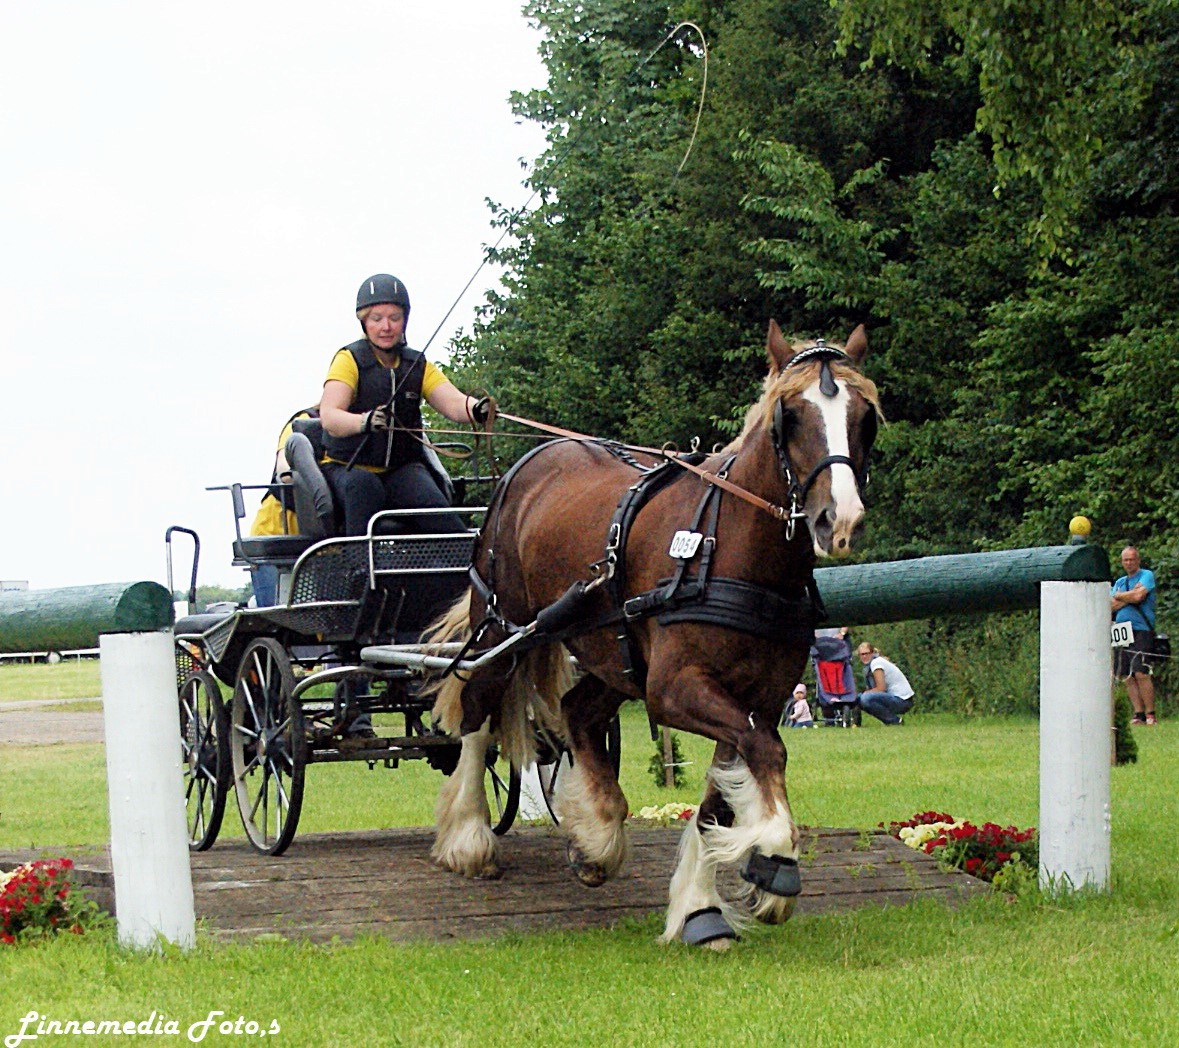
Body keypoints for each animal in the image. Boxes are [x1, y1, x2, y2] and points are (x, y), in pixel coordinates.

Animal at [429, 320, 881, 947]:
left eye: (866, 417)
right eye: (788, 416)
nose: (839, 520)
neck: (731, 548)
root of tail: (527, 463)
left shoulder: (759, 696)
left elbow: (722, 791)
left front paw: (701, 906)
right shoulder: (674, 688)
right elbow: (766, 750)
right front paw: (773, 860)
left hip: (609, 654)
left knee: (576, 710)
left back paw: (596, 837)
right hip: (503, 625)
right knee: (476, 709)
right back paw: (470, 838)